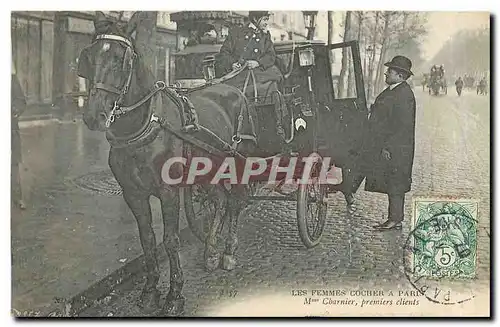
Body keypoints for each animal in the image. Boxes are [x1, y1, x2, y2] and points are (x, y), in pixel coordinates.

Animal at [78, 12, 258, 316]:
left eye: (120, 58)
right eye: (89, 56)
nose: (94, 115)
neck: (145, 126)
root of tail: (234, 90)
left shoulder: (169, 192)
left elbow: (170, 240)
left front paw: (175, 295)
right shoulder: (133, 194)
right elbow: (147, 239)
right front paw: (150, 290)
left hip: (235, 163)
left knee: (235, 203)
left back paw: (228, 252)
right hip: (208, 170)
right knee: (220, 201)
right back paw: (210, 251)